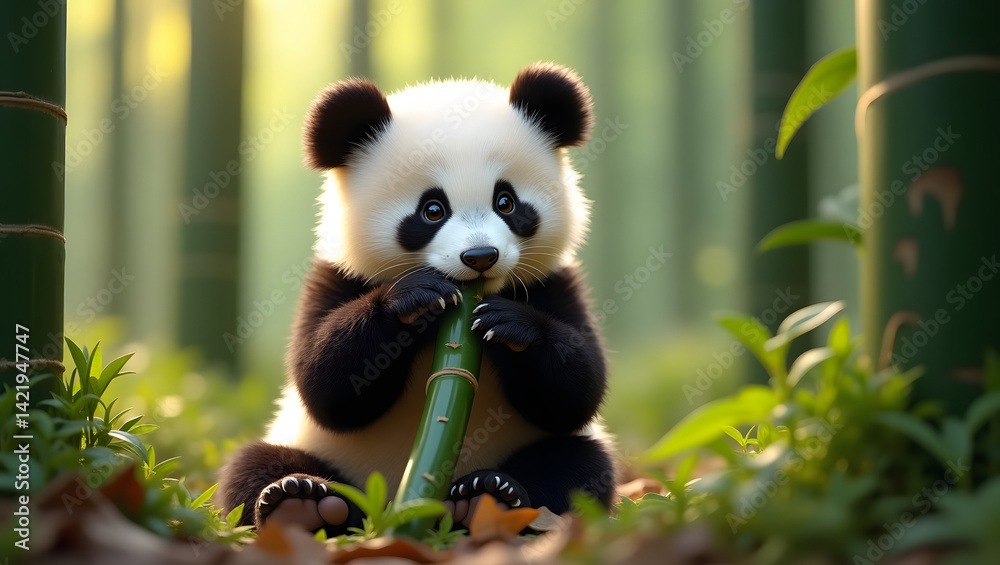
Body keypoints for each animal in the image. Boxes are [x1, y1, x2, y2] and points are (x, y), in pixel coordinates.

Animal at [220, 62, 616, 534]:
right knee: (251, 465)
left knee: (580, 466)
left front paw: (509, 324)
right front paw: (413, 299)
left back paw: (490, 496)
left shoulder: (553, 281)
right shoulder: (335, 278)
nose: (480, 256)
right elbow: (324, 384)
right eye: (432, 210)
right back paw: (301, 501)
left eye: (506, 202)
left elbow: (578, 388)